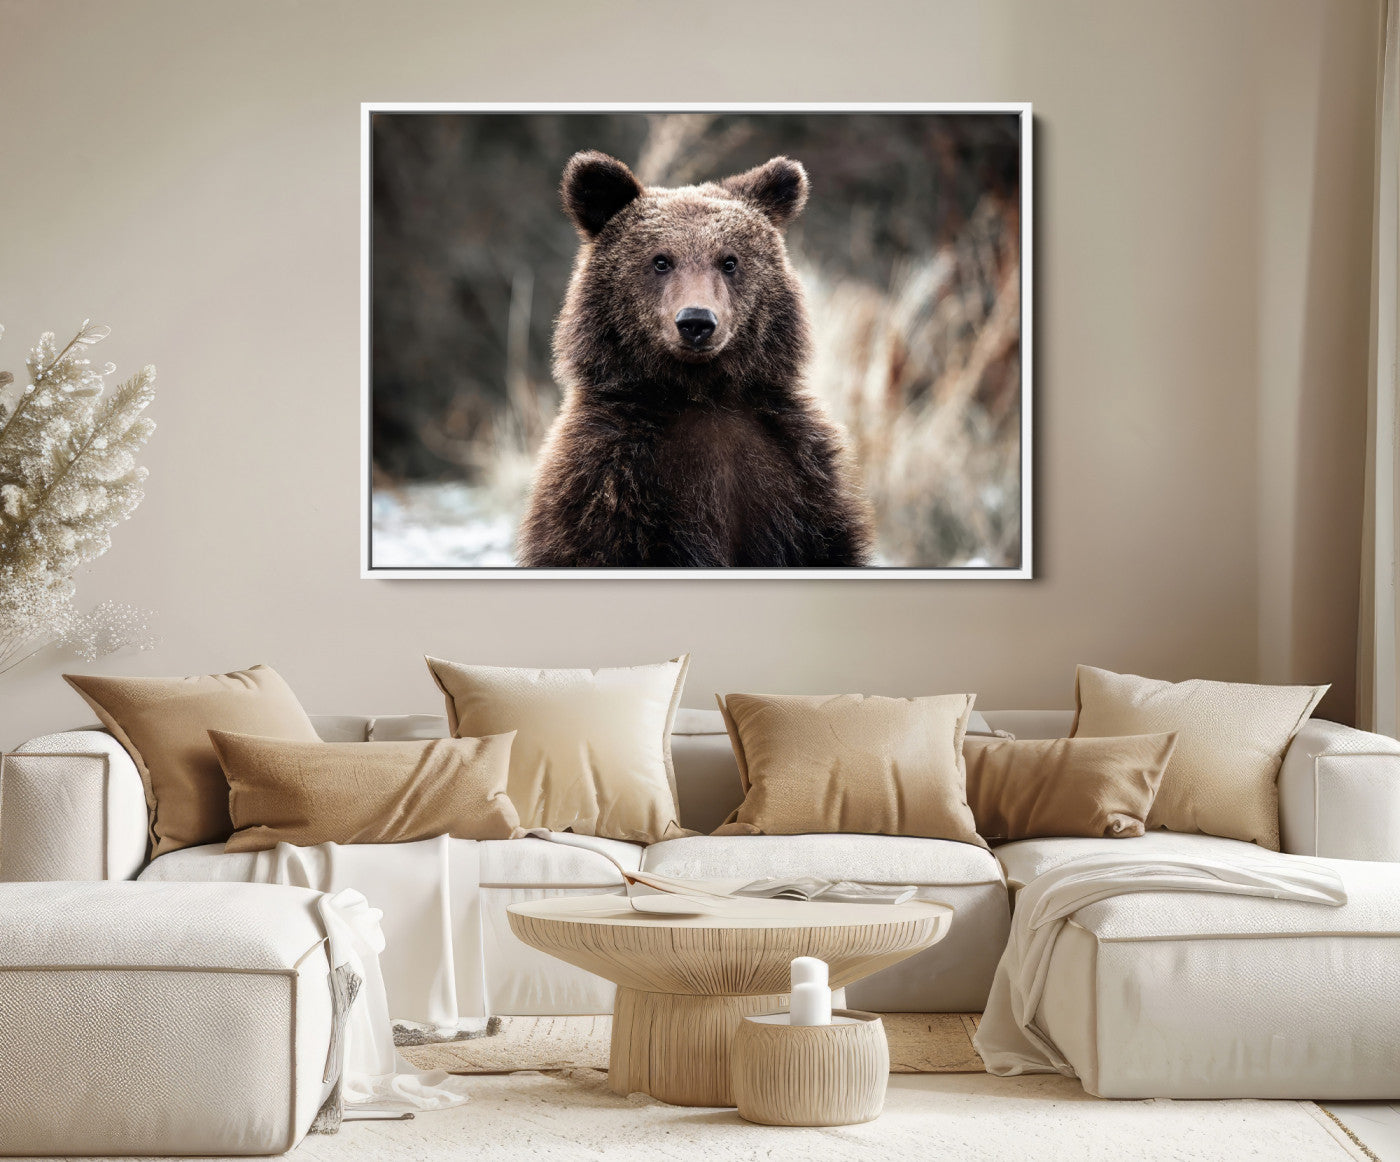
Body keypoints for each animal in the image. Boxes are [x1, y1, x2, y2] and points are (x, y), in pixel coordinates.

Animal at [516, 150, 873, 569]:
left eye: (729, 261)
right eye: (660, 260)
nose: (696, 322)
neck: (701, 393)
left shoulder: (798, 478)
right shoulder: (608, 481)